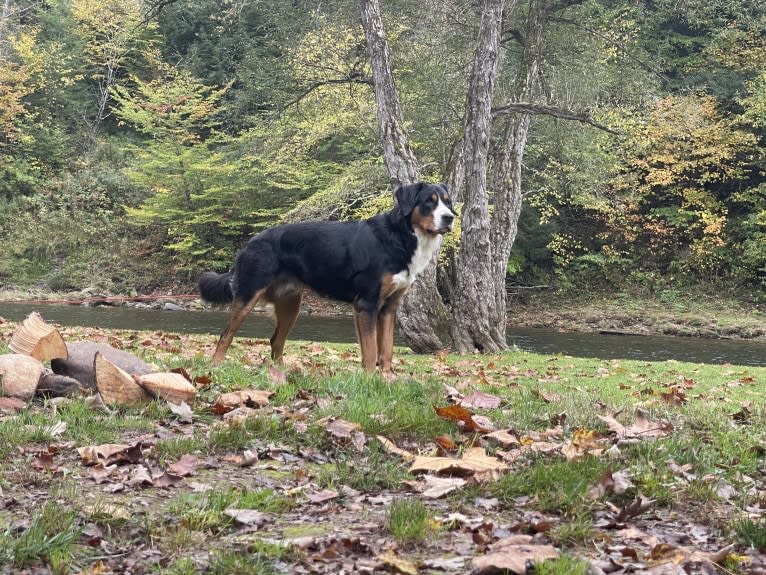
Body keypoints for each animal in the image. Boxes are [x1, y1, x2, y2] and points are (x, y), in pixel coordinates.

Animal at [201, 183, 460, 374]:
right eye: (429, 201)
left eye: (448, 202)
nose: (449, 218)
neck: (399, 237)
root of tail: (250, 243)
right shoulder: (367, 304)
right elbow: (370, 352)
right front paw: (370, 381)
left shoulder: (388, 307)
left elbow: (386, 351)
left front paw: (387, 380)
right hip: (248, 295)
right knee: (225, 335)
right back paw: (216, 367)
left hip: (290, 305)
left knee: (276, 341)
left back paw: (280, 374)